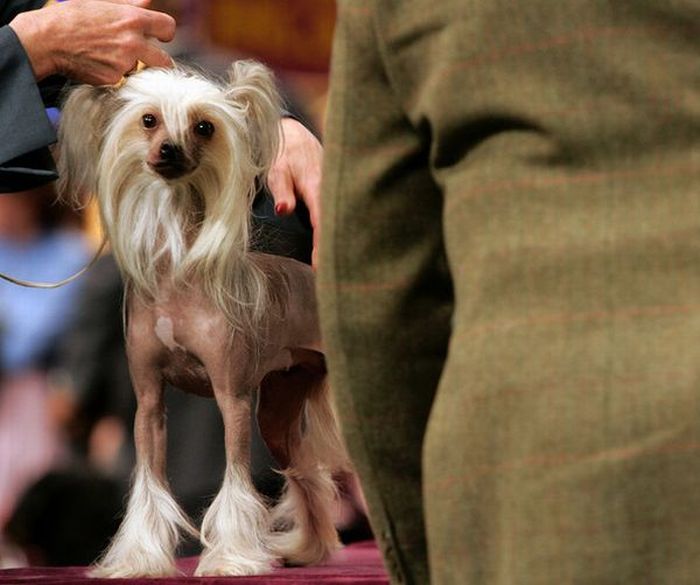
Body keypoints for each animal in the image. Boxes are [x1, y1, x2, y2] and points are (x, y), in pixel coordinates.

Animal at [58, 61, 350, 576]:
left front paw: (231, 558)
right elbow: (149, 485)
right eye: (149, 120)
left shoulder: (232, 399)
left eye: (204, 127)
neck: (175, 277)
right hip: (278, 411)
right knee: (304, 474)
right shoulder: (149, 403)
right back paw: (308, 549)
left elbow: (234, 482)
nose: (169, 149)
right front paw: (139, 560)